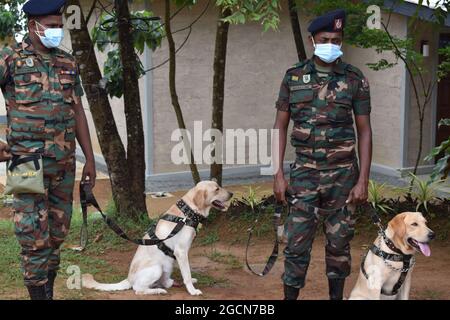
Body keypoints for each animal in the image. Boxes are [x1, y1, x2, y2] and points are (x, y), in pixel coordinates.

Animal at [81, 181, 234, 296]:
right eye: (217, 189)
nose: (232, 194)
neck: (188, 212)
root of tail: (128, 279)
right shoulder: (181, 252)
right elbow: (187, 274)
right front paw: (192, 291)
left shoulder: (179, 254)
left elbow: (187, 274)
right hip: (157, 267)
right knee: (138, 289)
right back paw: (157, 291)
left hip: (168, 264)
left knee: (164, 282)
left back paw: (168, 284)